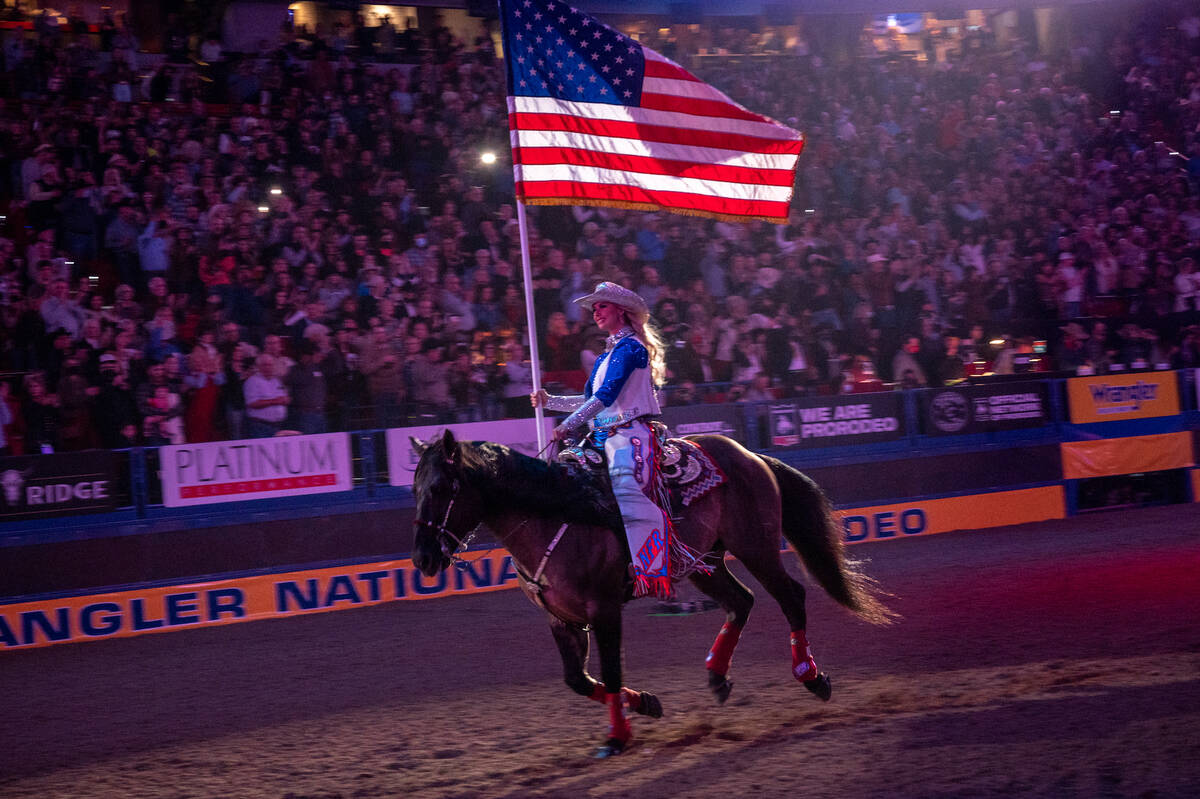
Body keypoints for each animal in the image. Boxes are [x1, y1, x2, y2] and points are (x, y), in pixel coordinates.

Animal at [412, 429, 892, 753]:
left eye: (440, 487)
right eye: (414, 488)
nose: (423, 559)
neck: (561, 514)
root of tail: (748, 453)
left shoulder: (605, 610)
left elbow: (610, 672)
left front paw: (618, 736)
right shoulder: (561, 619)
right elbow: (579, 680)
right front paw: (646, 704)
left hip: (755, 547)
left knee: (790, 596)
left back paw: (811, 676)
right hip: (703, 561)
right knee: (742, 602)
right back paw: (717, 676)